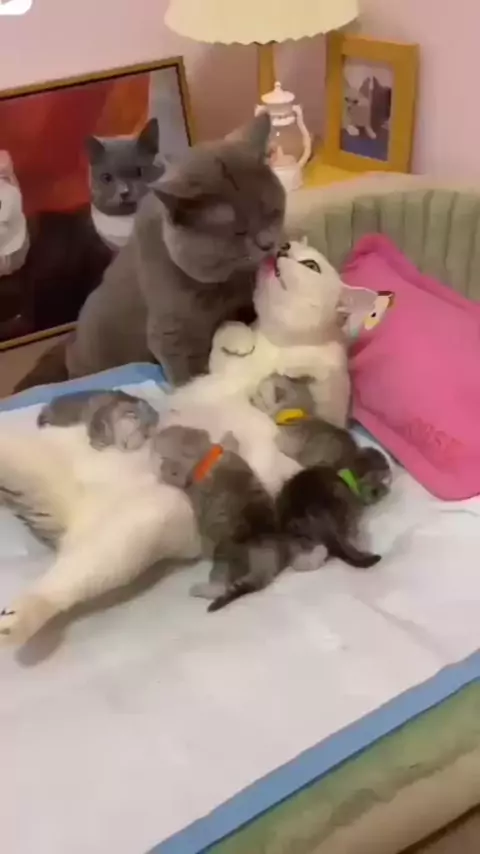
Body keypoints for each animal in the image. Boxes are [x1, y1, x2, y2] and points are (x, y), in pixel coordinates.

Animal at [151, 425, 283, 612]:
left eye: (166, 432)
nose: (155, 433)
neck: (207, 457)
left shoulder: (190, 479)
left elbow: (177, 476)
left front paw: (165, 469)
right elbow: (229, 444)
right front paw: (229, 437)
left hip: (223, 557)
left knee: (221, 586)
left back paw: (200, 589)